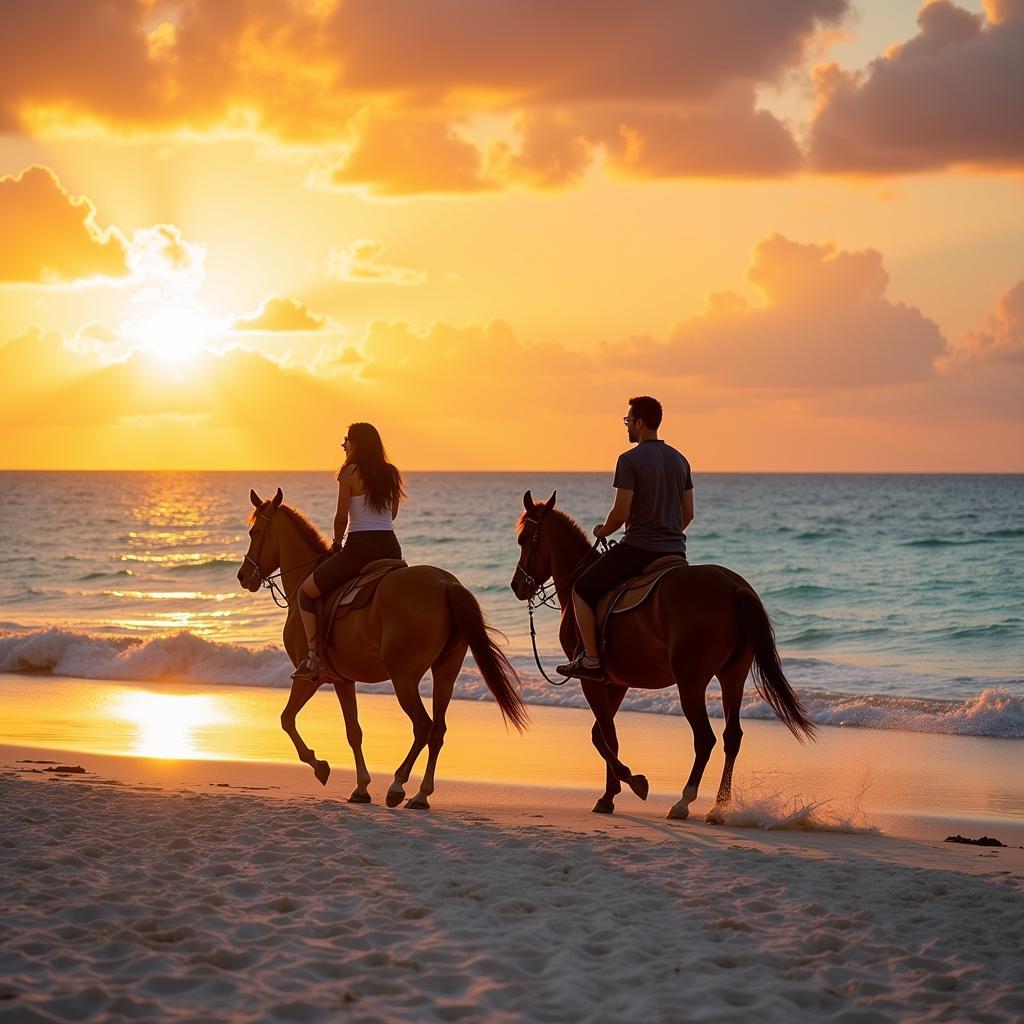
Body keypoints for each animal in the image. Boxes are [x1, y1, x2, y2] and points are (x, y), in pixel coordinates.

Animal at [239, 487, 528, 806]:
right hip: (445, 673)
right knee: (438, 730)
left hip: (404, 679)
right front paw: (361, 787)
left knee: (423, 726)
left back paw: (398, 785)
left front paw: (320, 765)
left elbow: (287, 719)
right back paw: (421, 794)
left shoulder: (309, 679)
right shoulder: (343, 680)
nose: (243, 575)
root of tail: (445, 583)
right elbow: (353, 732)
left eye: (254, 531)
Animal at [507, 491, 811, 819]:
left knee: (705, 738)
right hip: (733, 677)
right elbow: (604, 735)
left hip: (690, 682)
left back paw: (683, 801)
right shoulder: (617, 682)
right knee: (732, 737)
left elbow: (602, 736)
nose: (516, 585)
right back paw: (719, 806)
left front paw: (631, 782)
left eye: (523, 539)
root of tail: (734, 588)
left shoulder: (592, 680)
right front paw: (609, 795)